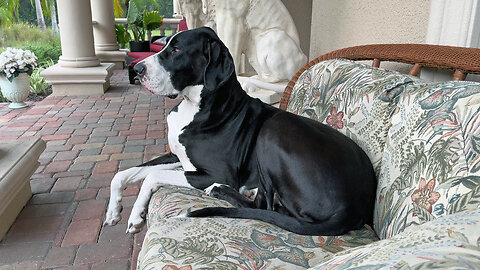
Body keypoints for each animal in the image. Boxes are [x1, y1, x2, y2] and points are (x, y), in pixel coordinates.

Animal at [103, 26, 376, 235]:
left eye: (177, 49)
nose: (137, 70)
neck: (199, 105)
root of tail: (352, 207)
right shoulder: (176, 156)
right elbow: (123, 174)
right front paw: (116, 212)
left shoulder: (216, 172)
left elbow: (151, 176)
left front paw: (135, 215)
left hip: (272, 130)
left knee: (264, 207)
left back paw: (221, 190)